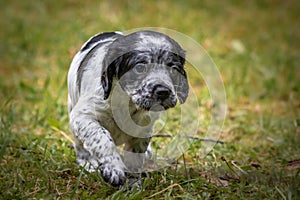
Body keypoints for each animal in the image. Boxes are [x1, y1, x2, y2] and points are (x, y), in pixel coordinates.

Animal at [68, 30, 190, 187]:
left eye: (174, 70)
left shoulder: (143, 128)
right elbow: (102, 137)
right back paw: (88, 163)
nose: (163, 92)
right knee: (80, 145)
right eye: (139, 68)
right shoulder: (83, 116)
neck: (127, 101)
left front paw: (133, 185)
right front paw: (114, 169)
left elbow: (135, 158)